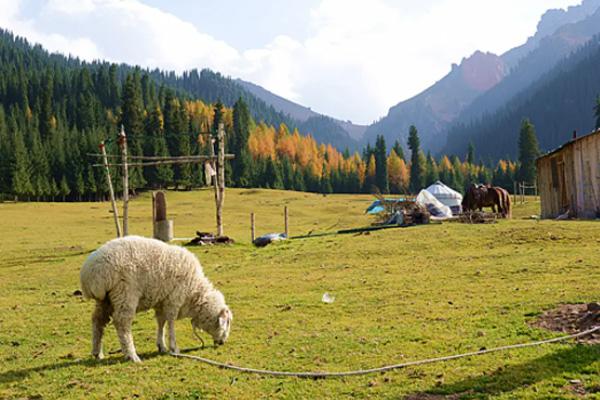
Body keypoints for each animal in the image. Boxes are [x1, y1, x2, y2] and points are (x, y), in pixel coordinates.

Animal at [78, 236, 232, 364]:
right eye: (227, 322)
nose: (222, 343)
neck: (195, 293)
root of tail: (91, 272)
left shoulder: (161, 302)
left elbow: (161, 322)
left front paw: (161, 346)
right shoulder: (174, 300)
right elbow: (171, 322)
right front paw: (174, 348)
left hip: (105, 299)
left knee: (98, 321)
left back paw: (97, 352)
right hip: (125, 293)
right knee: (122, 323)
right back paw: (132, 355)